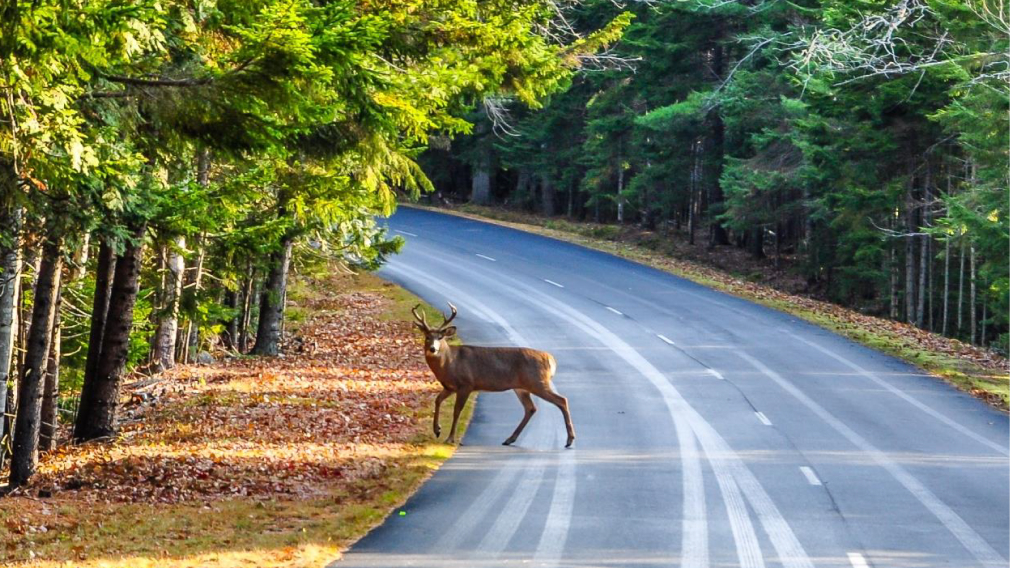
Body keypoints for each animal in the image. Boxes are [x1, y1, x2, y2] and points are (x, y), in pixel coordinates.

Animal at [412, 303, 575, 448]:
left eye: (440, 337)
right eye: (427, 337)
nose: (433, 349)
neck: (450, 363)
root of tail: (551, 359)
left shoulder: (466, 384)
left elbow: (457, 411)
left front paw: (450, 438)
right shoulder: (450, 387)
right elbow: (437, 400)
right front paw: (437, 430)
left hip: (537, 381)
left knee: (562, 400)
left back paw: (569, 440)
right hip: (522, 387)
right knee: (531, 408)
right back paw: (509, 439)